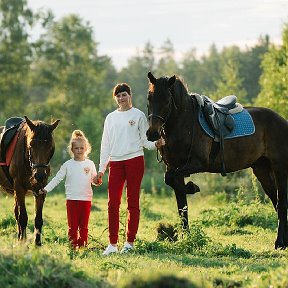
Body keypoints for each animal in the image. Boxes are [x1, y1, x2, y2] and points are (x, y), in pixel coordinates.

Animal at [0, 116, 59, 246]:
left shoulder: (41, 189)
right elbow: (23, 217)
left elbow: (38, 219)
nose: (40, 175)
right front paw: (23, 243)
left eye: (50, 146)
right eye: (31, 144)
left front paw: (37, 244)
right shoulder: (19, 188)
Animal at [147, 71, 286, 249]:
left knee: (281, 204)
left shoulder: (197, 164)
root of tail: (282, 121)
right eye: (149, 98)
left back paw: (280, 243)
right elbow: (181, 206)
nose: (152, 134)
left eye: (166, 100)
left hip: (279, 168)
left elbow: (171, 181)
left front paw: (192, 187)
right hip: (262, 169)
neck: (185, 123)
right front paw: (186, 237)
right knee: (276, 201)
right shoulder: (174, 168)